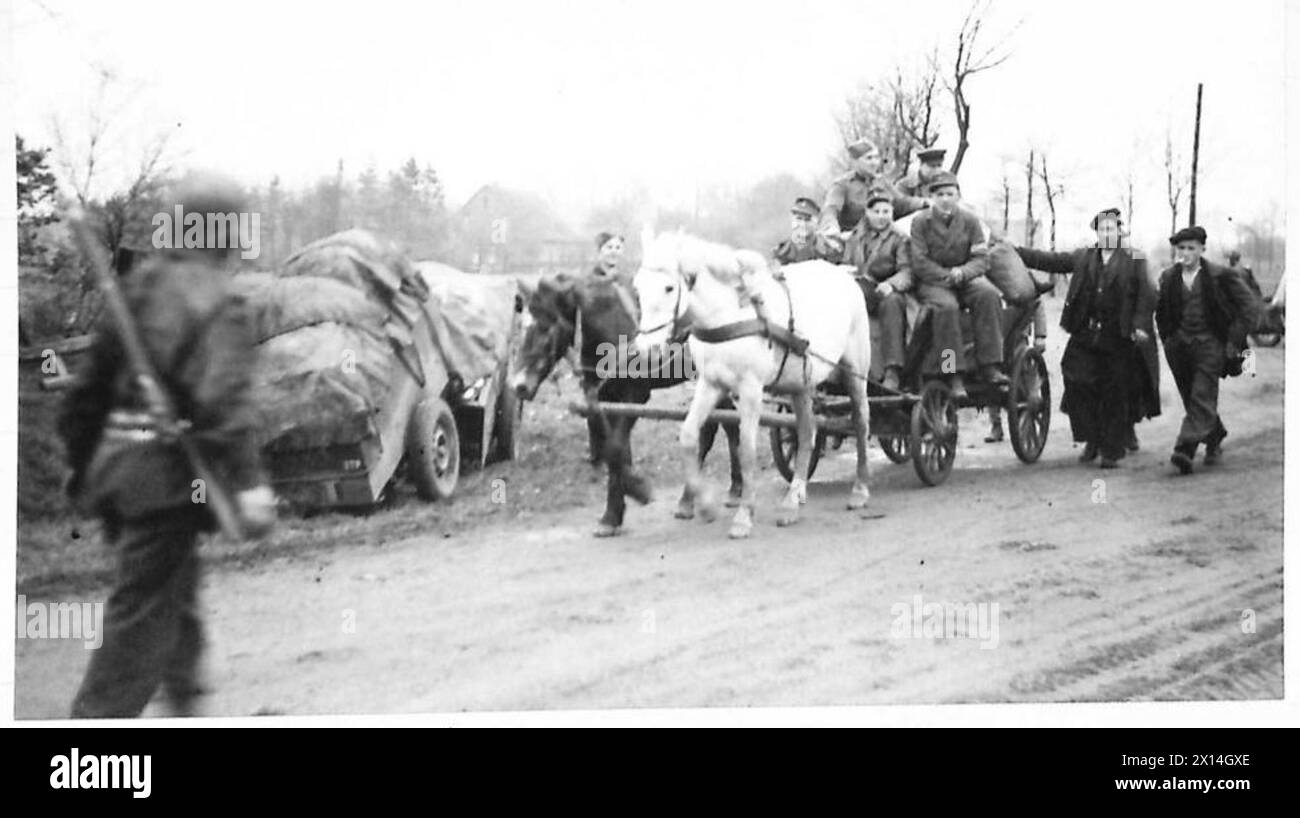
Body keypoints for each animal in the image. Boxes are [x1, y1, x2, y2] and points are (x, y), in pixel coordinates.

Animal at [631, 230, 873, 538]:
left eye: (669, 288)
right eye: (637, 288)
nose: (646, 348)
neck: (728, 314)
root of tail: (844, 273)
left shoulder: (750, 390)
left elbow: (746, 450)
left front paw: (744, 515)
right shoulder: (711, 384)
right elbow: (688, 436)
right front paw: (704, 505)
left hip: (855, 373)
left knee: (860, 422)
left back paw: (860, 490)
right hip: (800, 383)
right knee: (807, 432)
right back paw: (793, 499)